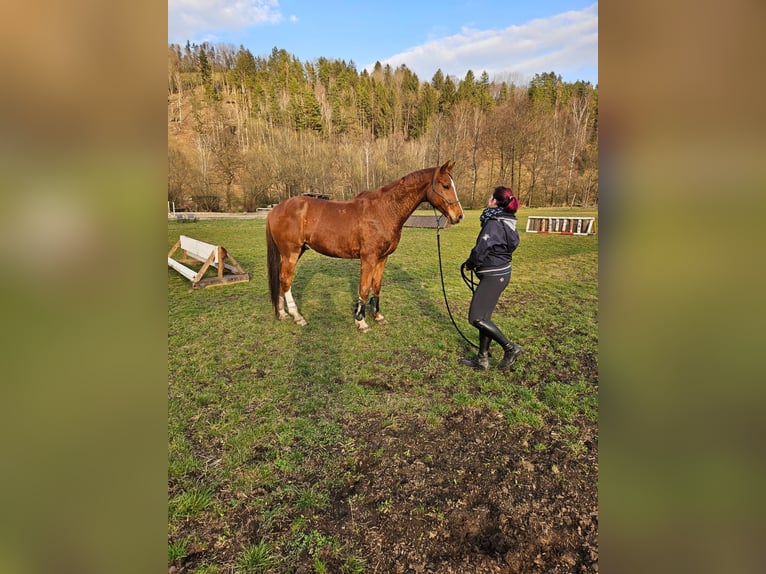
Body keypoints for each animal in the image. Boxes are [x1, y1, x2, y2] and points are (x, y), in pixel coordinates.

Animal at [266, 160, 464, 332]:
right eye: (445, 185)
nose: (459, 216)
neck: (384, 210)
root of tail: (276, 209)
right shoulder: (368, 258)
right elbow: (364, 288)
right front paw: (360, 320)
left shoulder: (382, 258)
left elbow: (376, 286)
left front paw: (377, 315)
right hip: (291, 252)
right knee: (286, 280)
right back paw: (296, 316)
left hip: (293, 253)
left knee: (281, 279)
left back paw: (282, 313)